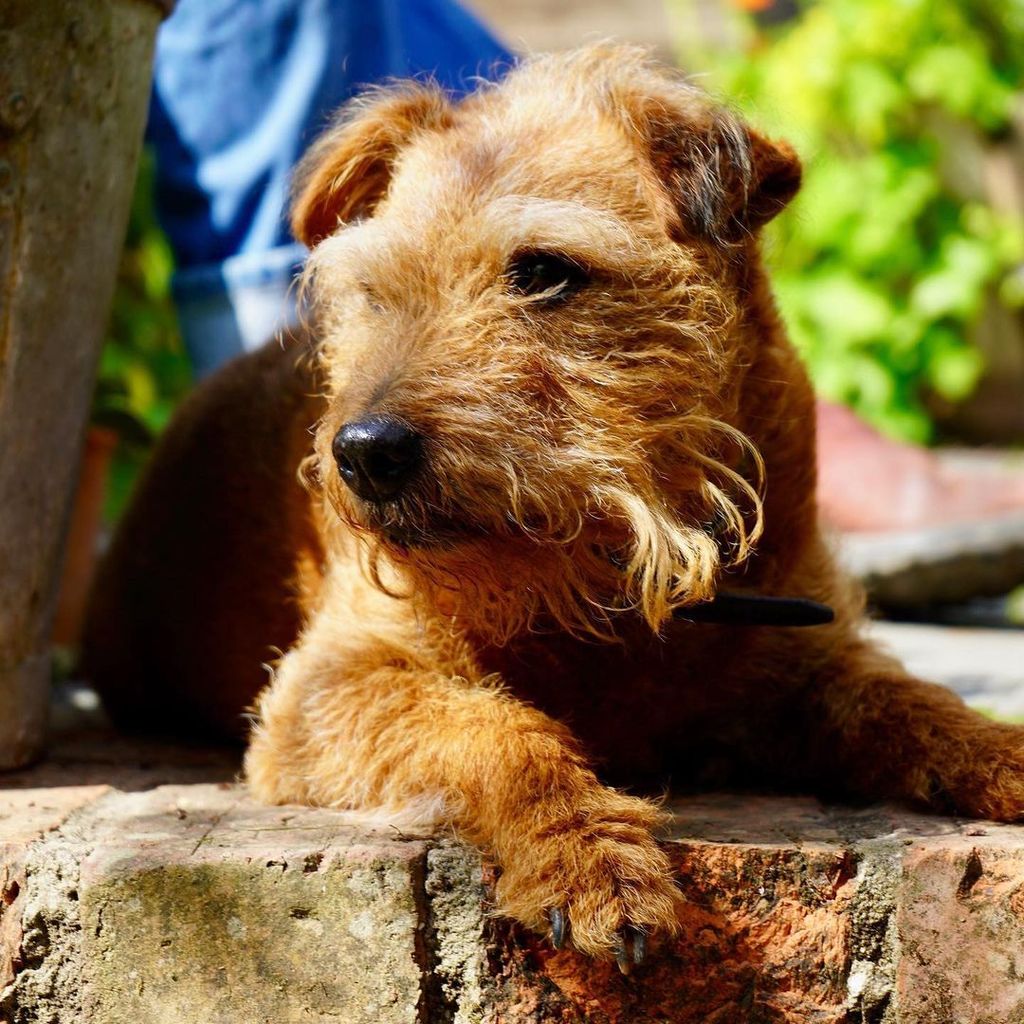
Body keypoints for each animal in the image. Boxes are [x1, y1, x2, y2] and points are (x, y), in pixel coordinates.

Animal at [81, 41, 1024, 966]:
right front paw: (587, 858)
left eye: (544, 272)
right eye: (373, 291)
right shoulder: (327, 691)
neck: (610, 590)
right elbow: (499, 732)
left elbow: (915, 701)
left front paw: (1002, 747)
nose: (364, 453)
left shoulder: (815, 659)